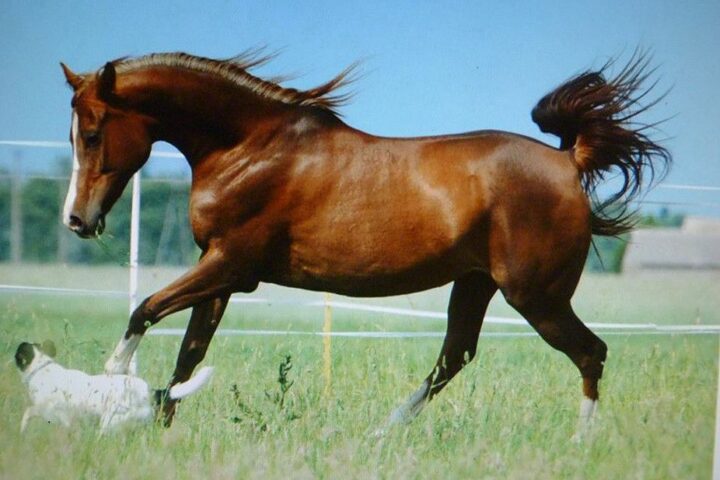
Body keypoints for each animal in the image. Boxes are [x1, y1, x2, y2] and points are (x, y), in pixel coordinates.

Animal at [59, 50, 669, 432]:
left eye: (91, 133)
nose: (76, 220)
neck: (249, 148)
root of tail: (570, 161)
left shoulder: (231, 266)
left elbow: (144, 309)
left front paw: (111, 389)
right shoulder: (219, 273)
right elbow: (189, 352)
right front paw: (159, 423)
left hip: (537, 296)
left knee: (590, 353)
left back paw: (580, 442)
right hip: (476, 285)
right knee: (453, 358)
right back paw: (382, 433)